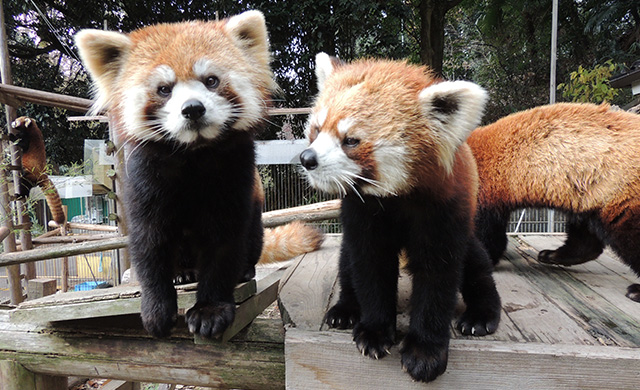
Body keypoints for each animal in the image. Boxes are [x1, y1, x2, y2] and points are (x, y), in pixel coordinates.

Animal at [77, 11, 322, 338]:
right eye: (164, 89)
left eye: (211, 81)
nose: (192, 108)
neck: (192, 153)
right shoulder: (145, 178)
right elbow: (149, 242)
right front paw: (155, 310)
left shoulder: (234, 174)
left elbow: (223, 242)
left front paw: (210, 311)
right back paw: (183, 273)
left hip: (255, 215)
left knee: (251, 239)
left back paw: (244, 270)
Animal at [298, 53, 502, 382]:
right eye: (316, 130)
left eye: (351, 140)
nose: (307, 159)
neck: (398, 197)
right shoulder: (362, 211)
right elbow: (370, 265)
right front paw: (374, 332)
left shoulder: (444, 209)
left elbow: (437, 276)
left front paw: (425, 352)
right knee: (347, 261)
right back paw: (345, 309)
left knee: (475, 261)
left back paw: (482, 314)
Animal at [468, 103, 640, 302]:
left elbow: (487, 236)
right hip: (590, 195)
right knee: (585, 237)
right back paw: (553, 255)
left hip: (620, 190)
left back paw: (637, 290)